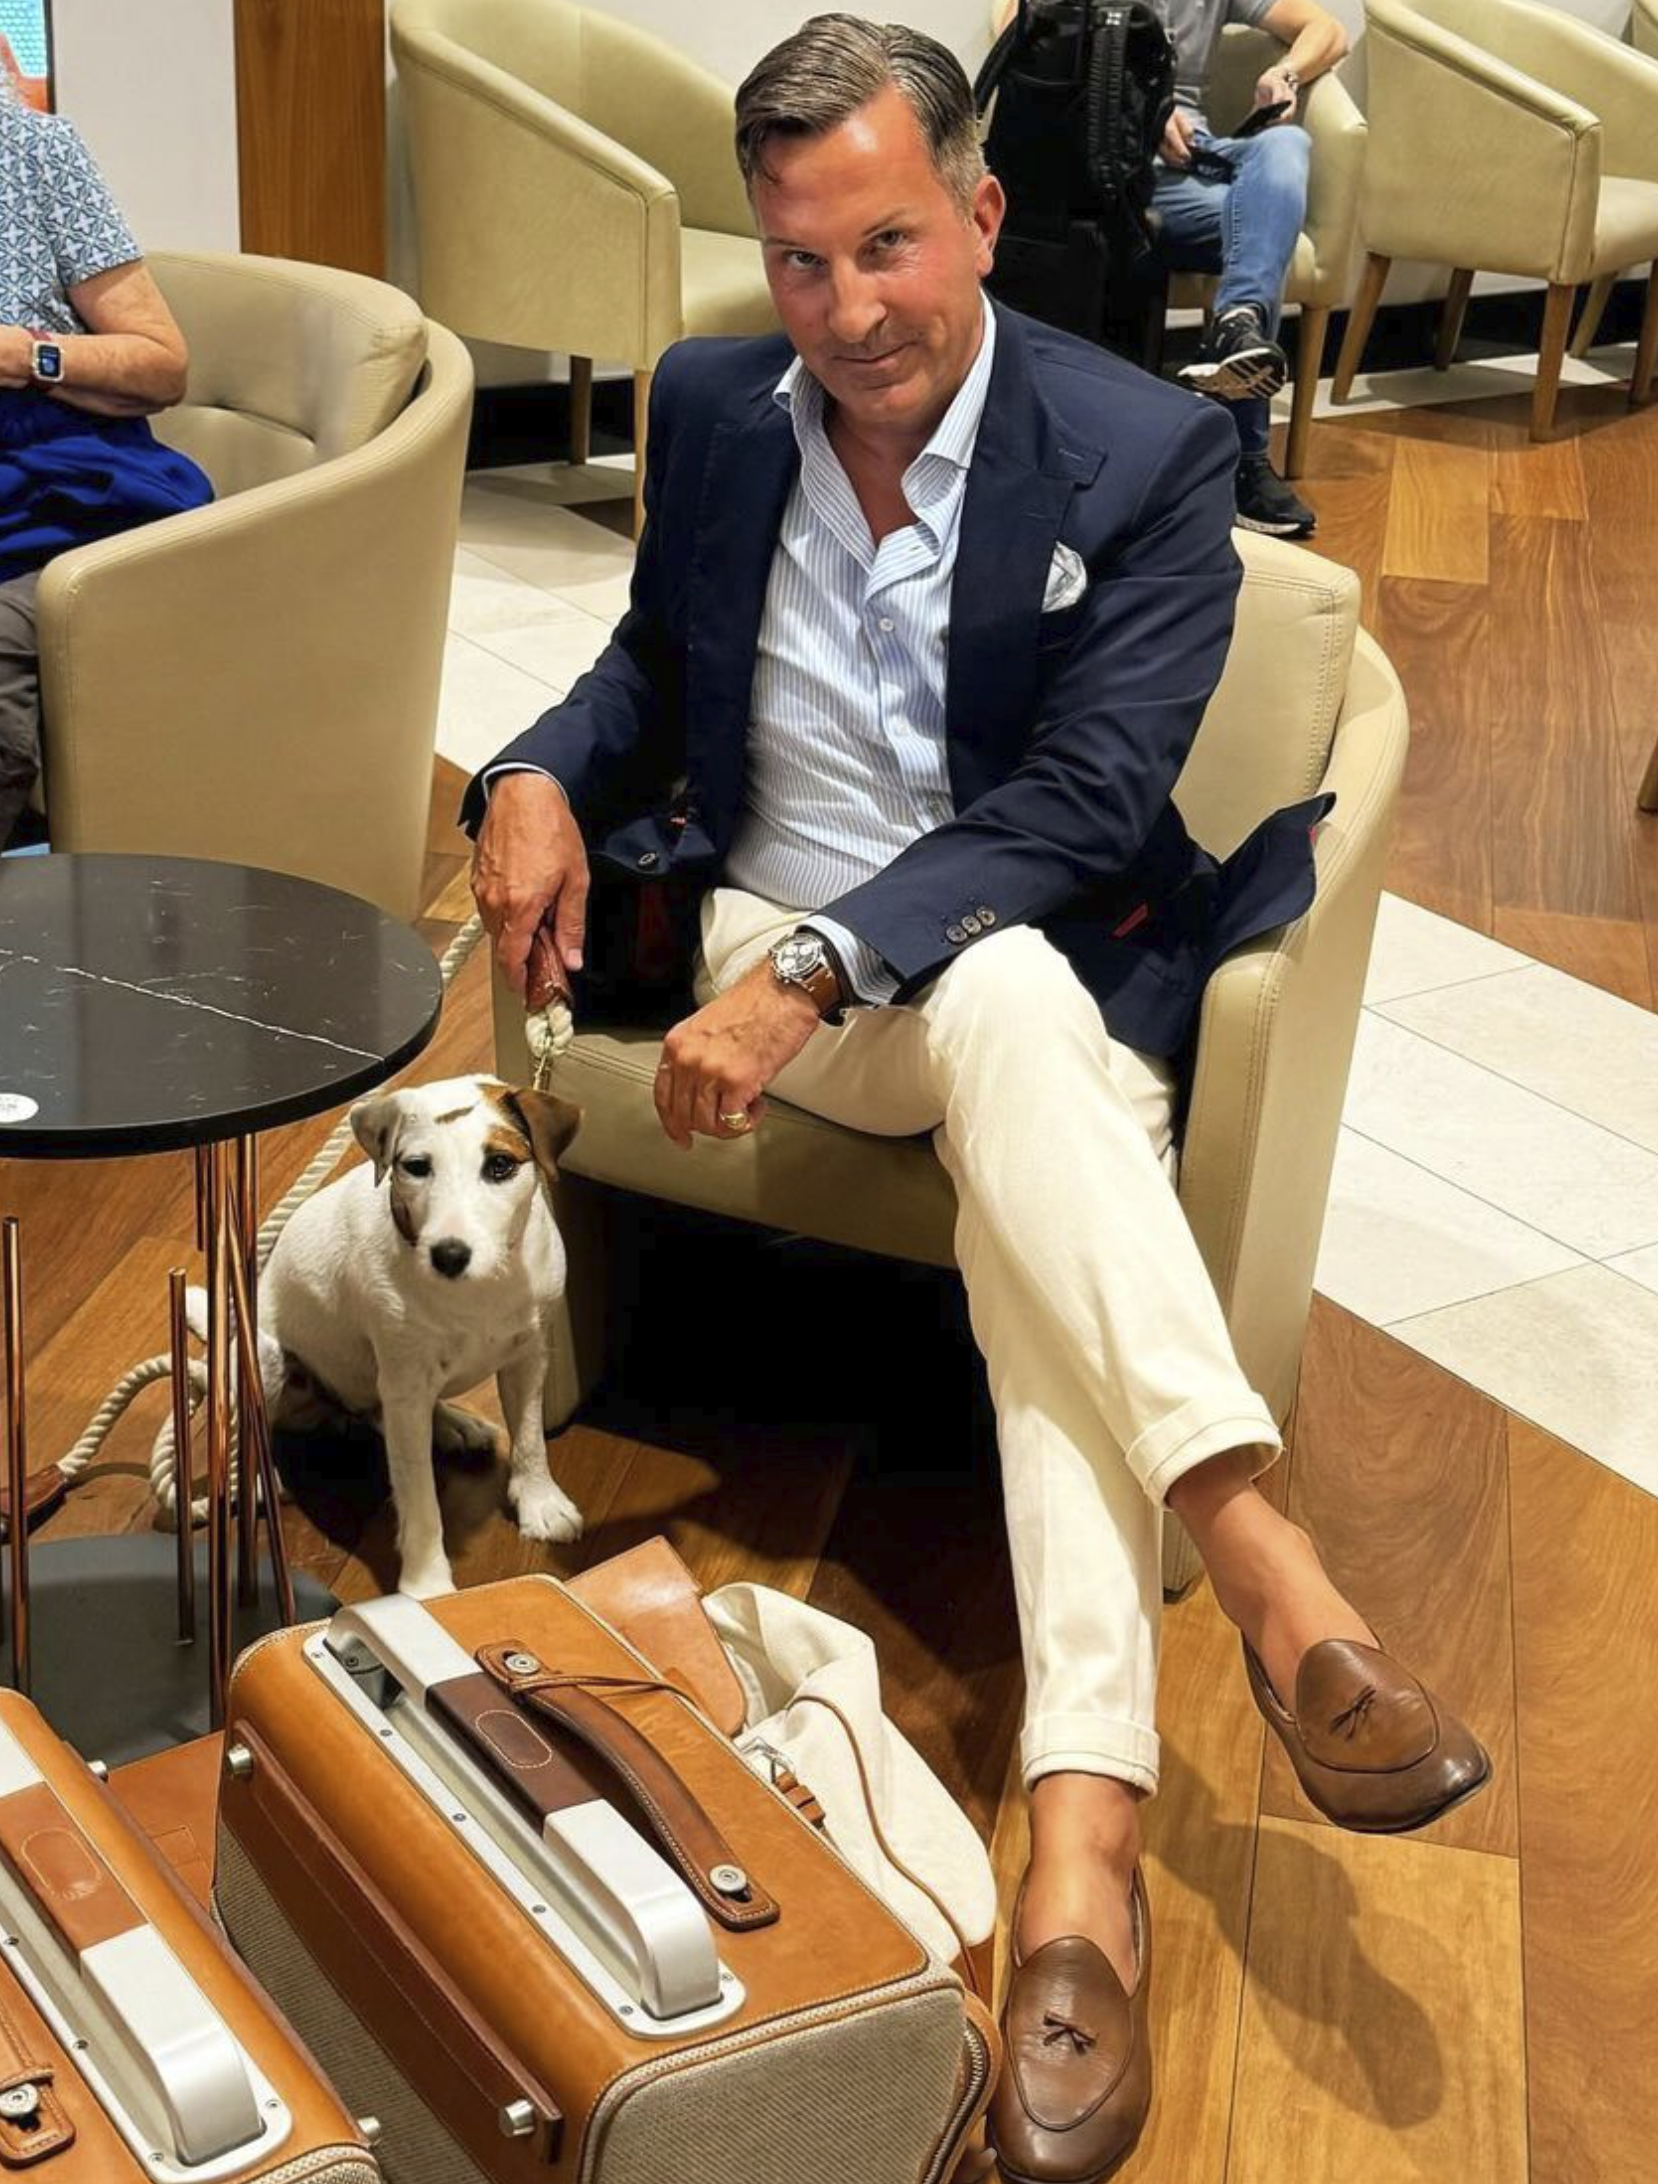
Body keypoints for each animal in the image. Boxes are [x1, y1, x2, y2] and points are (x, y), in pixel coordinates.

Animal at [251, 1073, 584, 1597]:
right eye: (416, 1167)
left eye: (501, 1165)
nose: (449, 1255)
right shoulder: (405, 1386)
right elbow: (418, 1492)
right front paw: (427, 1583)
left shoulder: (529, 1356)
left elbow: (530, 1437)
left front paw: (540, 1503)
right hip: (262, 1356)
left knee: (378, 1411)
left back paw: (453, 1425)